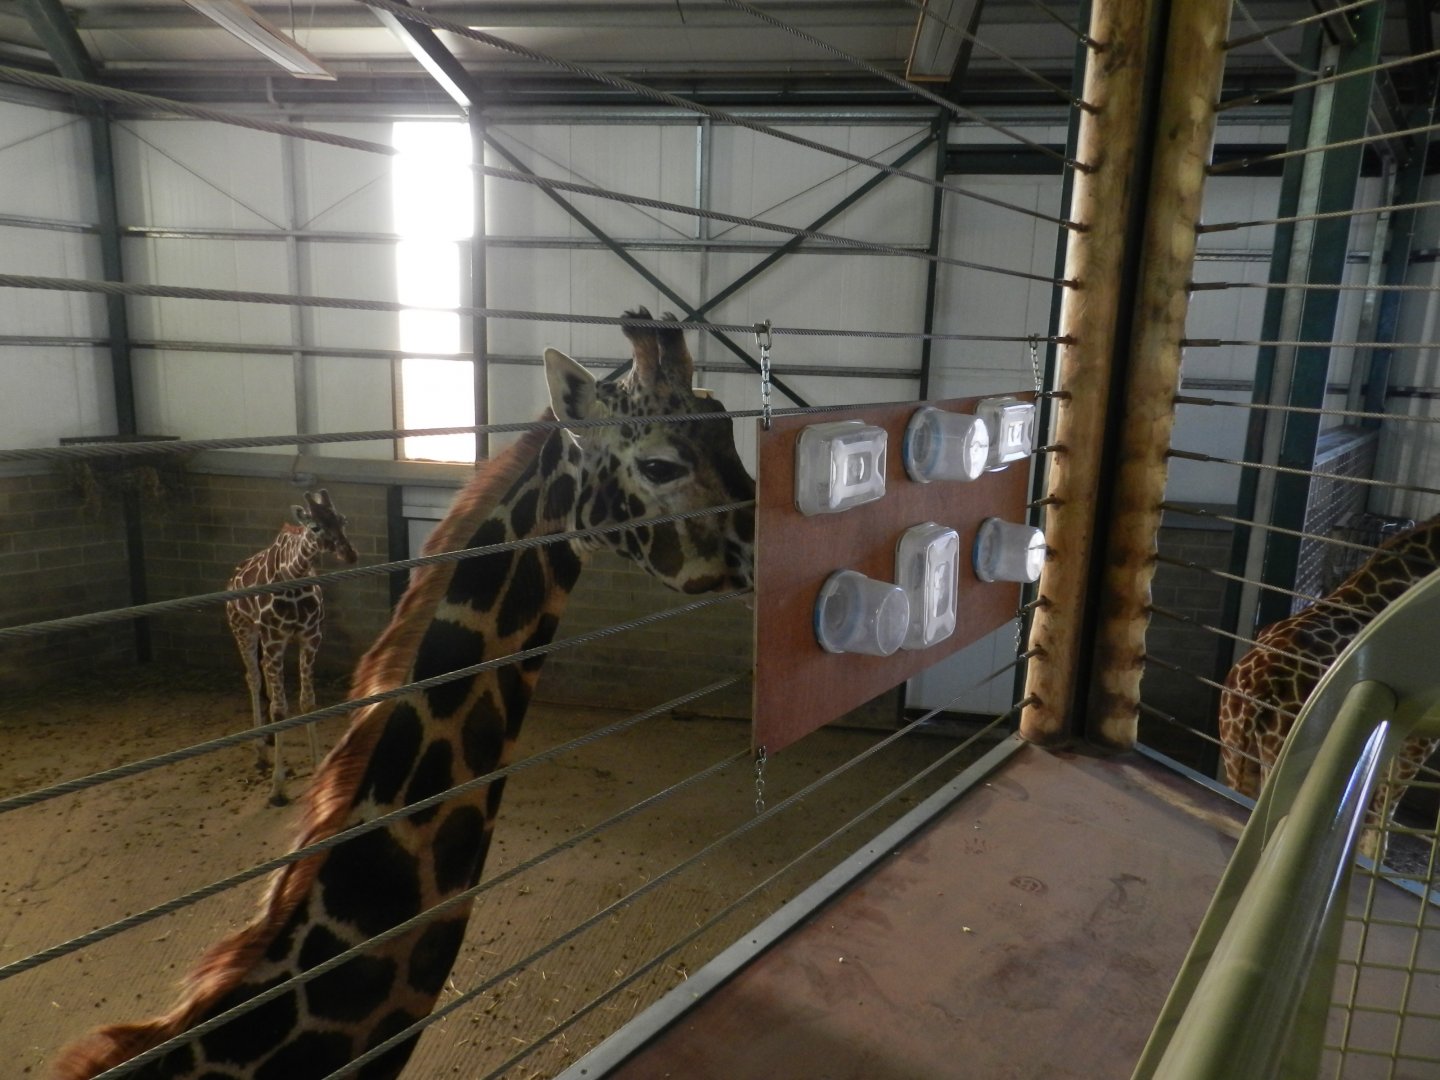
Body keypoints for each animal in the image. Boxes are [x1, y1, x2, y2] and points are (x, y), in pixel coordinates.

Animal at [226, 488, 360, 806]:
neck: (293, 577)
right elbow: (279, 710)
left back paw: (267, 743)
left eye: (343, 519)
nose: (349, 554)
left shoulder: (310, 636)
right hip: (243, 627)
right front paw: (278, 789)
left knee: (262, 674)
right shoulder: (275, 639)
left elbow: (307, 701)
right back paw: (260, 752)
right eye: (315, 527)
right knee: (253, 677)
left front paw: (318, 767)